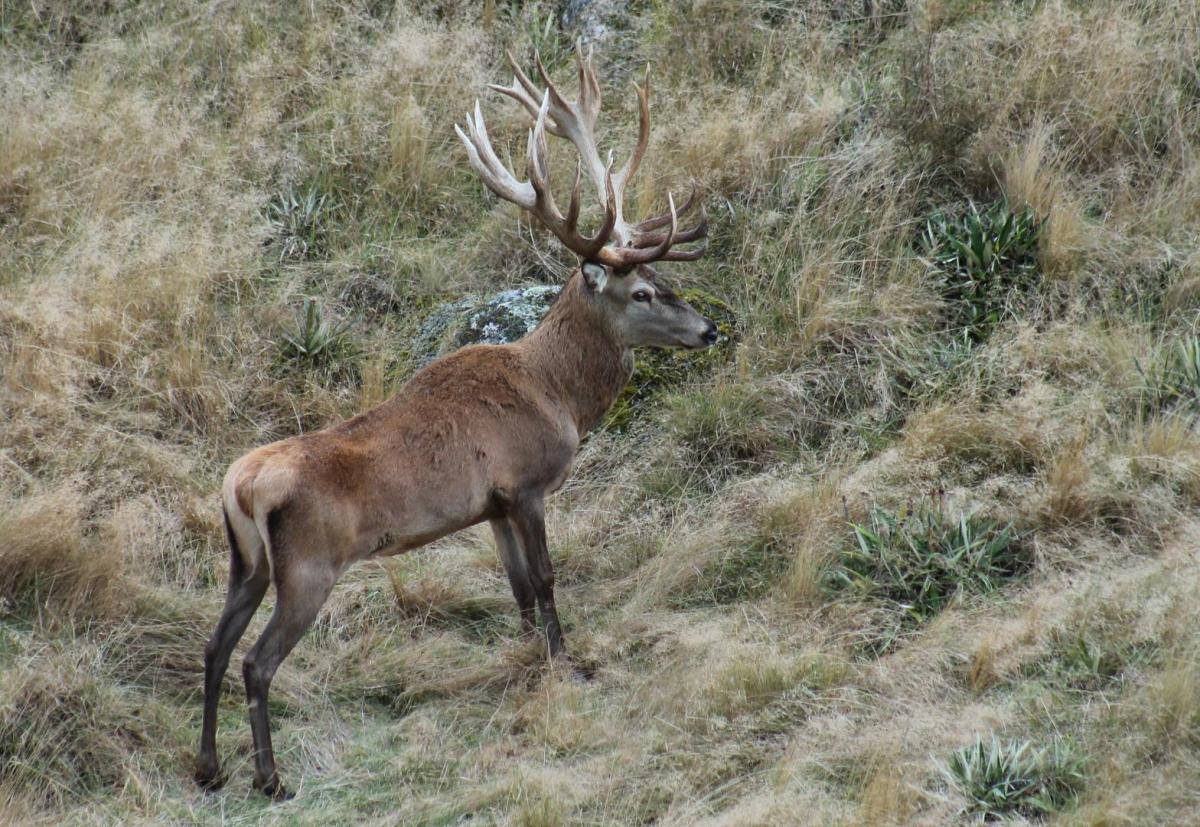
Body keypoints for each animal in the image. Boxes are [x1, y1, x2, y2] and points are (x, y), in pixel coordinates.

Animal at [194, 46, 715, 800]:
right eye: (643, 291)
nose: (708, 329)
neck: (558, 394)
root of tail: (240, 485)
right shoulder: (525, 483)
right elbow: (547, 576)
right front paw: (568, 662)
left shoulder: (489, 503)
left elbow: (518, 587)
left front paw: (529, 656)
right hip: (308, 566)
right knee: (256, 661)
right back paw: (269, 776)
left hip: (247, 561)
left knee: (213, 645)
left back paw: (208, 766)